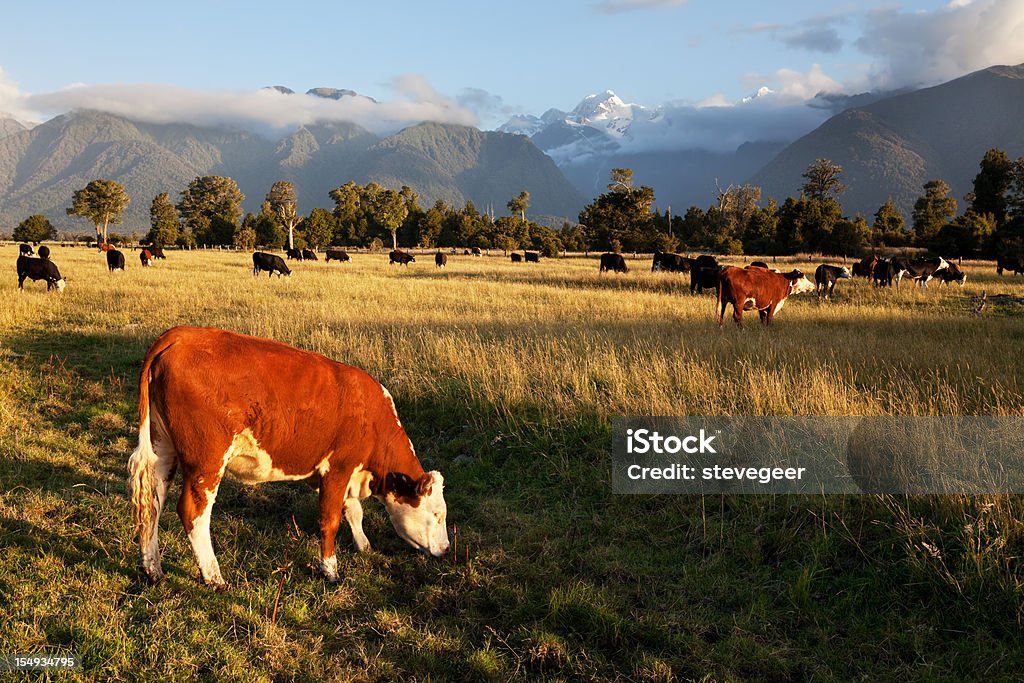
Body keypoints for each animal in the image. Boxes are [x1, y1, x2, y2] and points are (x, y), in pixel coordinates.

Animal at [128, 325, 448, 589]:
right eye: (437, 514)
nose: (445, 549)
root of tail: (180, 335)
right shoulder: (338, 468)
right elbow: (331, 521)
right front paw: (330, 571)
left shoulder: (333, 474)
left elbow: (353, 511)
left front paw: (364, 545)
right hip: (206, 460)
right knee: (194, 512)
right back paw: (214, 577)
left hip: (162, 449)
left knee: (152, 505)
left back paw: (153, 570)